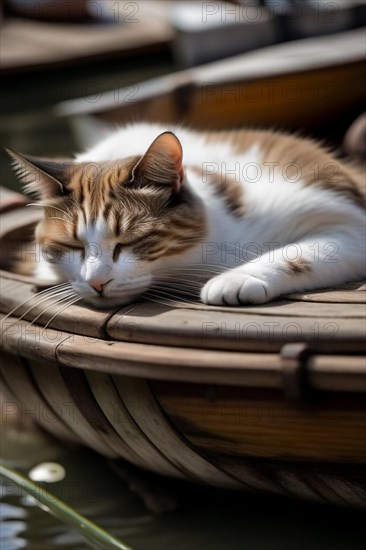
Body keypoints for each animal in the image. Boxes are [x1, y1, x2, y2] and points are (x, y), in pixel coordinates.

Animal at [6, 122, 366, 308]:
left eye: (130, 242)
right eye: (72, 246)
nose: (96, 282)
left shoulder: (346, 224)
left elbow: (297, 253)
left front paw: (236, 278)